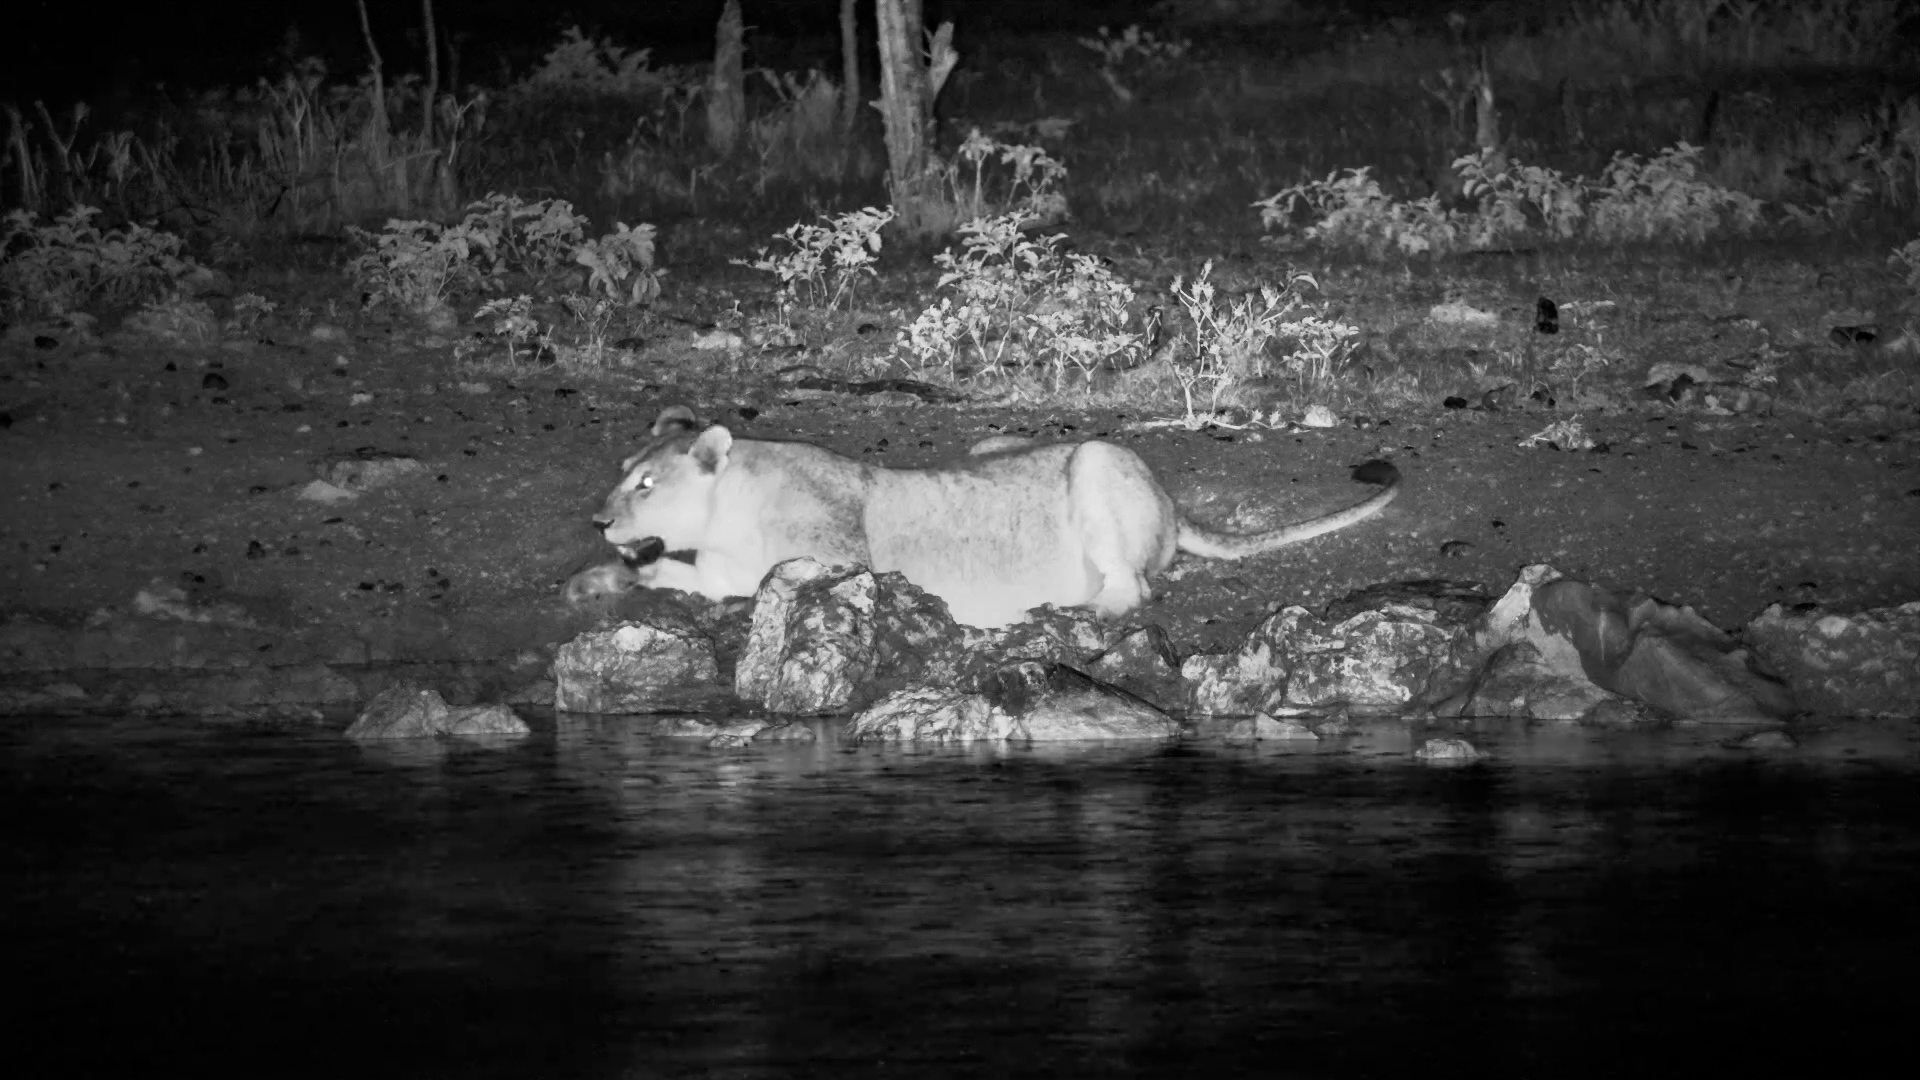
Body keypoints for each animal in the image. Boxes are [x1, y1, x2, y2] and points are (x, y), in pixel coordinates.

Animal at [573, 406, 1400, 628]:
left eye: (646, 482)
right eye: (623, 473)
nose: (599, 521)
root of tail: (1171, 500)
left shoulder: (824, 566)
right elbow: (662, 572)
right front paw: (595, 580)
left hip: (1096, 460)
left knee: (1133, 589)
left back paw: (1059, 612)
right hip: (993, 441)